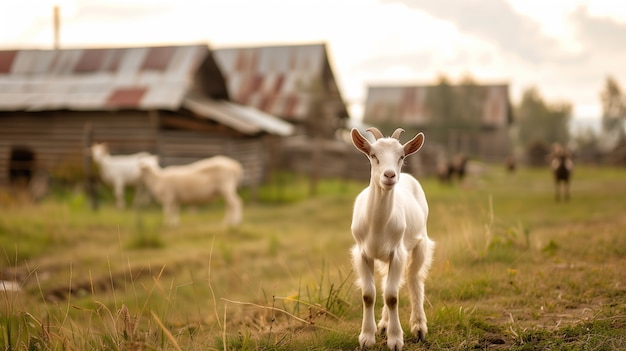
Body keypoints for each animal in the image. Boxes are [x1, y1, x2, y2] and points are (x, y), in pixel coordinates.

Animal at [348, 128, 432, 350]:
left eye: (401, 157)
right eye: (373, 156)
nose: (389, 175)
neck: (378, 226)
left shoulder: (398, 253)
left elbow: (392, 296)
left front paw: (395, 340)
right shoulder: (362, 254)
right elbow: (369, 295)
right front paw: (367, 338)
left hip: (421, 244)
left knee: (414, 279)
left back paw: (418, 327)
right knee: (387, 281)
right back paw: (384, 324)